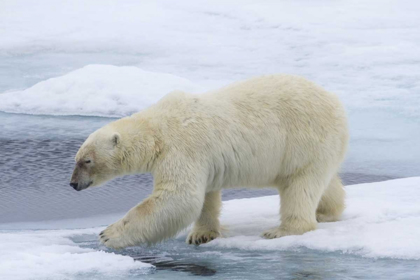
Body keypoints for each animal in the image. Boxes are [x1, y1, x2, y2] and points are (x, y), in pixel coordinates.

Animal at [70, 75, 350, 249]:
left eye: (87, 160)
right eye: (76, 158)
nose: (73, 184)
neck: (158, 129)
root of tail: (336, 103)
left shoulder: (182, 148)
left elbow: (178, 197)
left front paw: (108, 234)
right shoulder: (203, 159)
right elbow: (204, 196)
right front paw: (201, 235)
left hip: (304, 139)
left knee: (300, 185)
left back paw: (282, 230)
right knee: (321, 181)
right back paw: (327, 211)